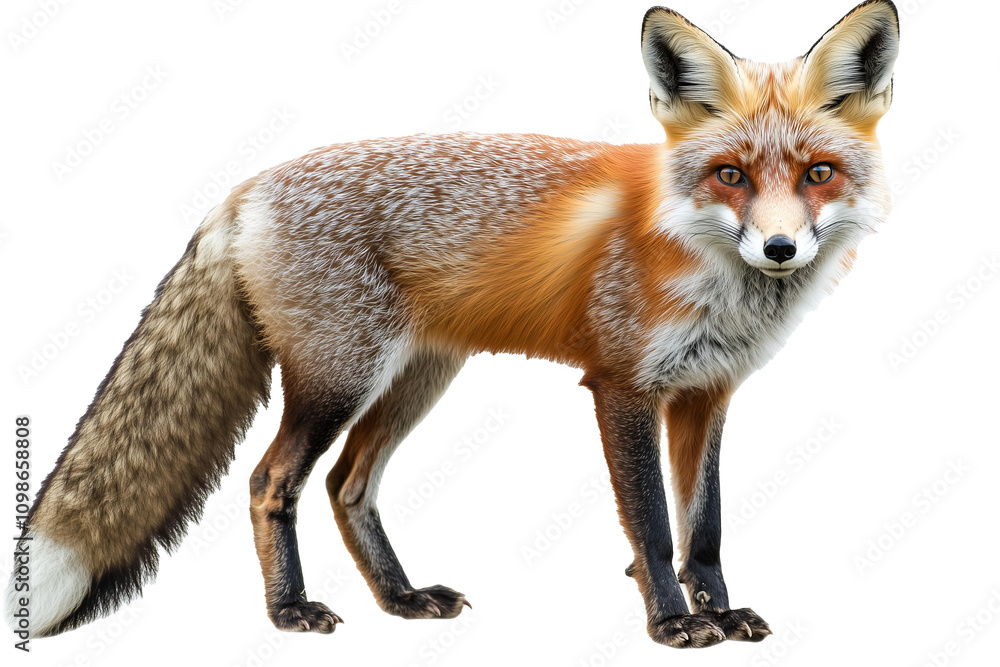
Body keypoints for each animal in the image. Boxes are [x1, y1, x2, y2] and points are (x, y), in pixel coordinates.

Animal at [6, 0, 899, 649]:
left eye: (819, 174)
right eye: (731, 175)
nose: (780, 248)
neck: (698, 257)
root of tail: (245, 188)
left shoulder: (706, 393)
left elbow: (703, 525)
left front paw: (721, 609)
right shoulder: (622, 386)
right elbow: (651, 525)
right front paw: (674, 620)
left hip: (415, 381)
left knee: (346, 485)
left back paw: (401, 597)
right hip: (340, 379)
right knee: (270, 481)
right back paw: (289, 611)